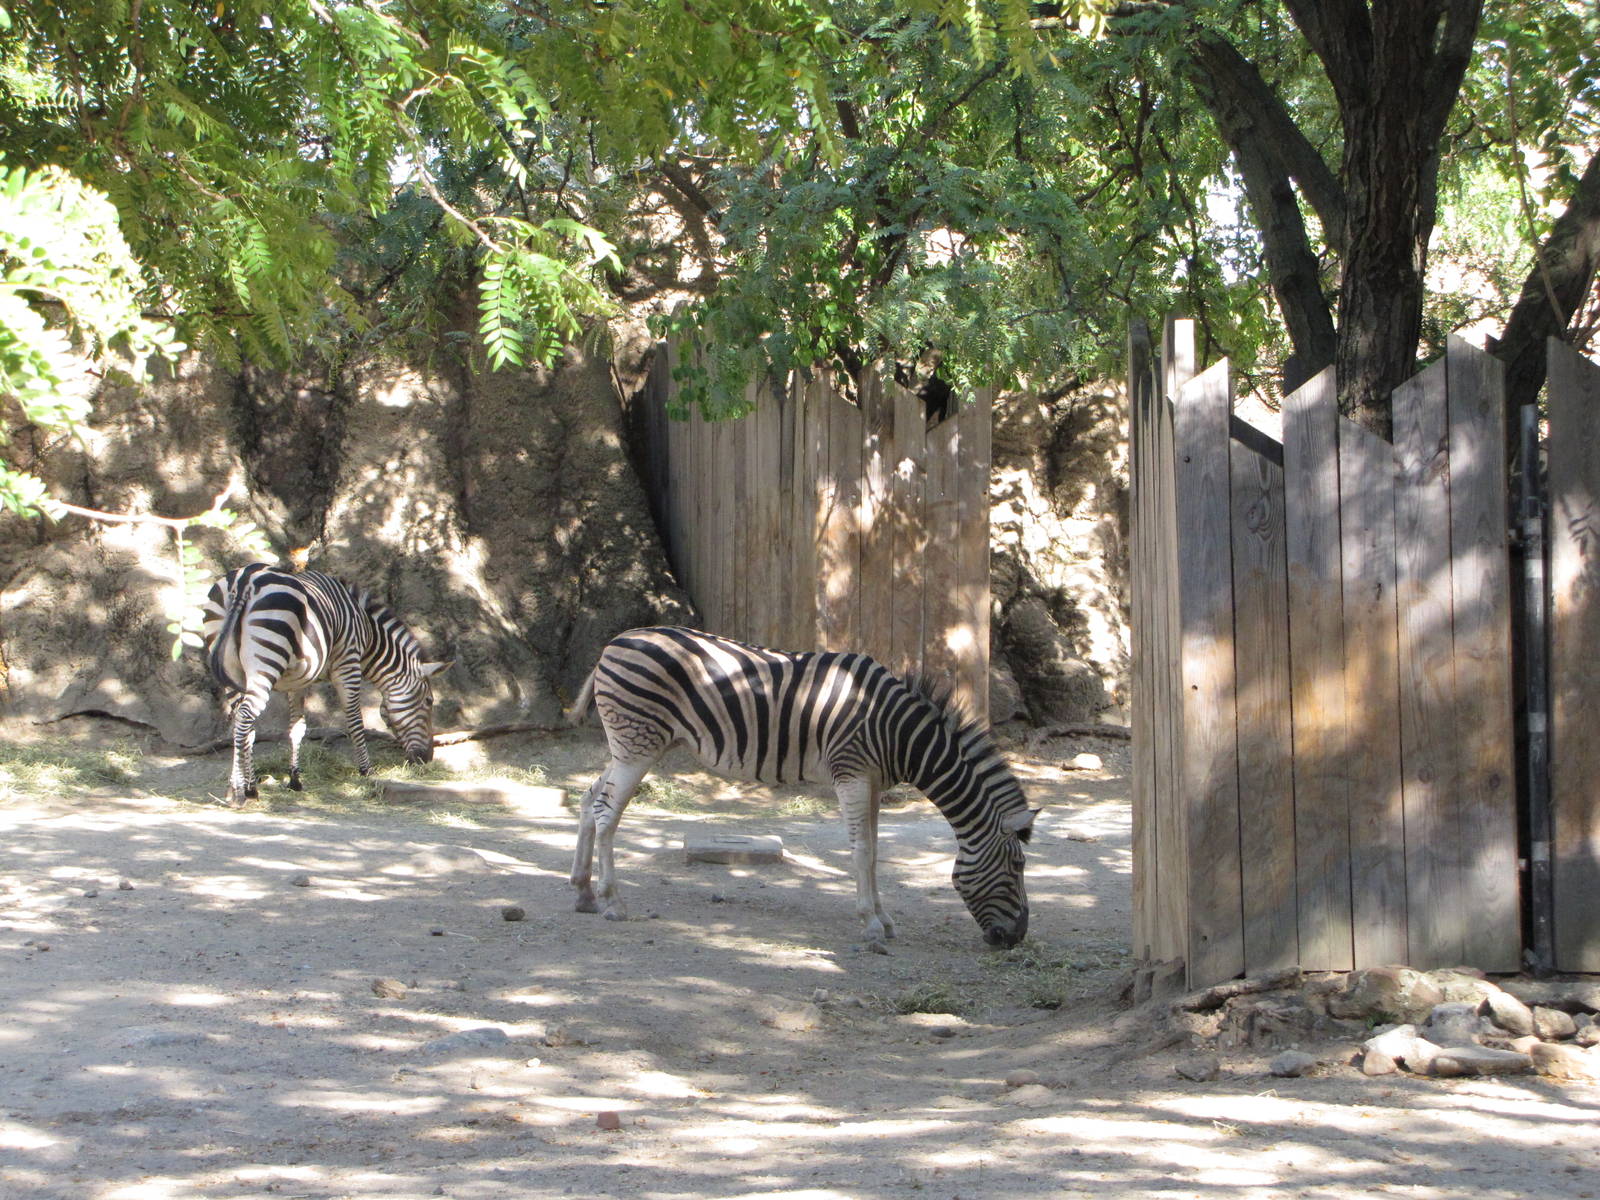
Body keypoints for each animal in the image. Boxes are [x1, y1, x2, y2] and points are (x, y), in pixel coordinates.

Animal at [203, 563, 450, 802]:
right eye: (429, 701)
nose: (427, 758)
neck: (368, 632)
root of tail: (244, 581)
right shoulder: (348, 664)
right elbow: (355, 721)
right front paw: (366, 771)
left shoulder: (298, 681)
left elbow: (297, 727)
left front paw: (295, 780)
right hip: (266, 660)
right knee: (245, 717)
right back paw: (243, 791)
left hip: (232, 668)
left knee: (243, 723)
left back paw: (241, 789)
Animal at [567, 626, 1036, 947]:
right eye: (1017, 865)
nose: (1015, 939)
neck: (900, 733)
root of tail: (617, 641)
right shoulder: (852, 773)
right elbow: (861, 850)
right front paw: (870, 922)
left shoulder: (872, 782)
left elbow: (875, 851)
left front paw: (884, 919)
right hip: (637, 744)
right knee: (607, 812)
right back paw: (613, 902)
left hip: (632, 746)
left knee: (590, 800)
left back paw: (584, 892)